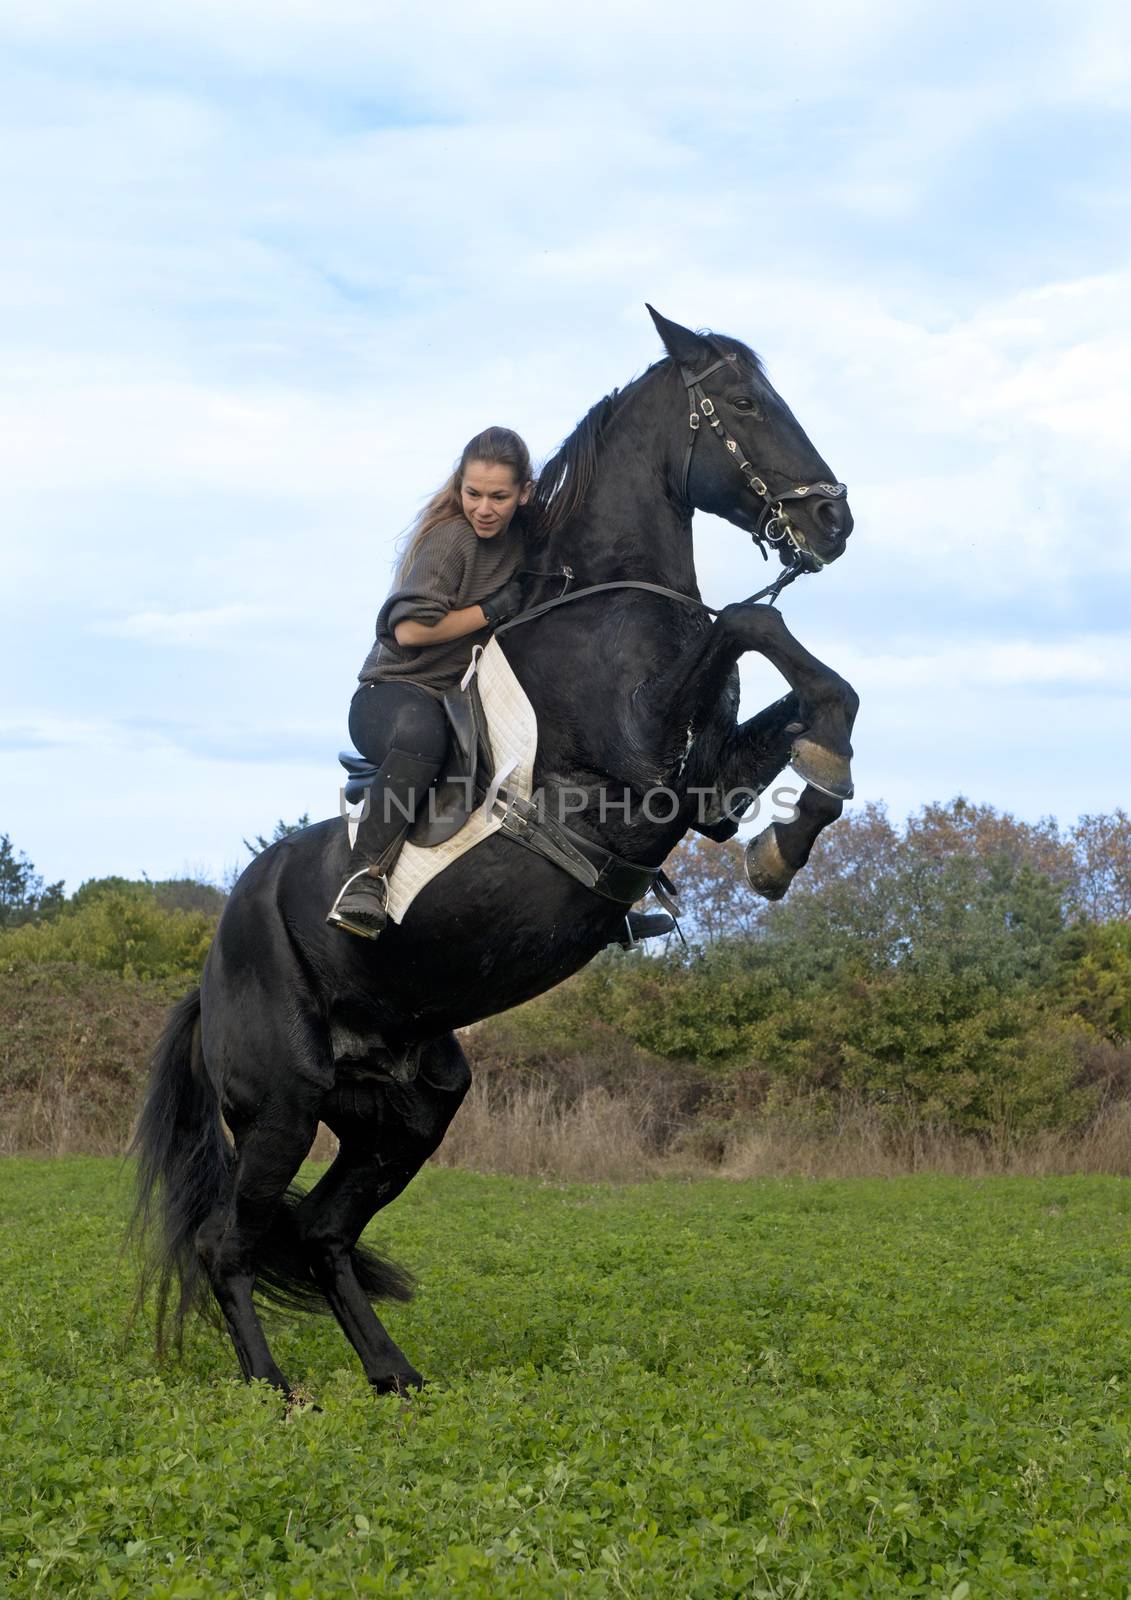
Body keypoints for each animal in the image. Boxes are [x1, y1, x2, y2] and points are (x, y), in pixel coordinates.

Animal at [132, 305, 857, 1395]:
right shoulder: (641, 764)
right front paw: (807, 806)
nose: (833, 522)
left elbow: (810, 689)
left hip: (409, 1108)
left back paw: (397, 1381)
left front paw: (796, 829)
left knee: (323, 1233)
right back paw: (280, 1394)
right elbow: (749, 620)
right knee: (233, 1242)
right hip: (282, 1106)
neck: (609, 604)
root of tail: (208, 975)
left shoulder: (708, 787)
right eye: (743, 402)